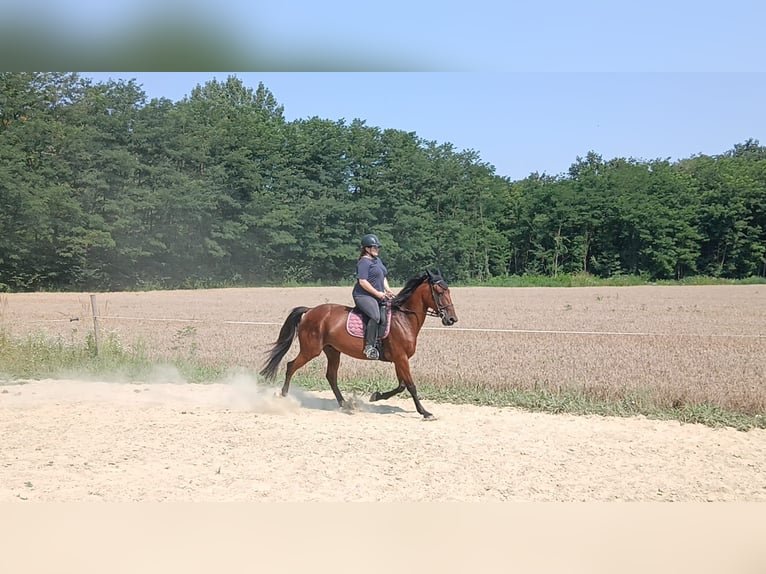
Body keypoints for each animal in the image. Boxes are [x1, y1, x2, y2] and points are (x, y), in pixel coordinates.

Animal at [259, 269, 458, 419]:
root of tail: (309, 311)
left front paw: (376, 396)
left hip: (332, 351)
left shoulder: (398, 359)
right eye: (440, 292)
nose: (452, 319)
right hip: (311, 350)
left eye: (449, 291)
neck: (404, 318)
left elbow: (402, 385)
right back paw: (284, 396)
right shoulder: (401, 358)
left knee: (331, 376)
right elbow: (410, 386)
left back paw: (344, 404)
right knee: (291, 366)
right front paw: (425, 412)